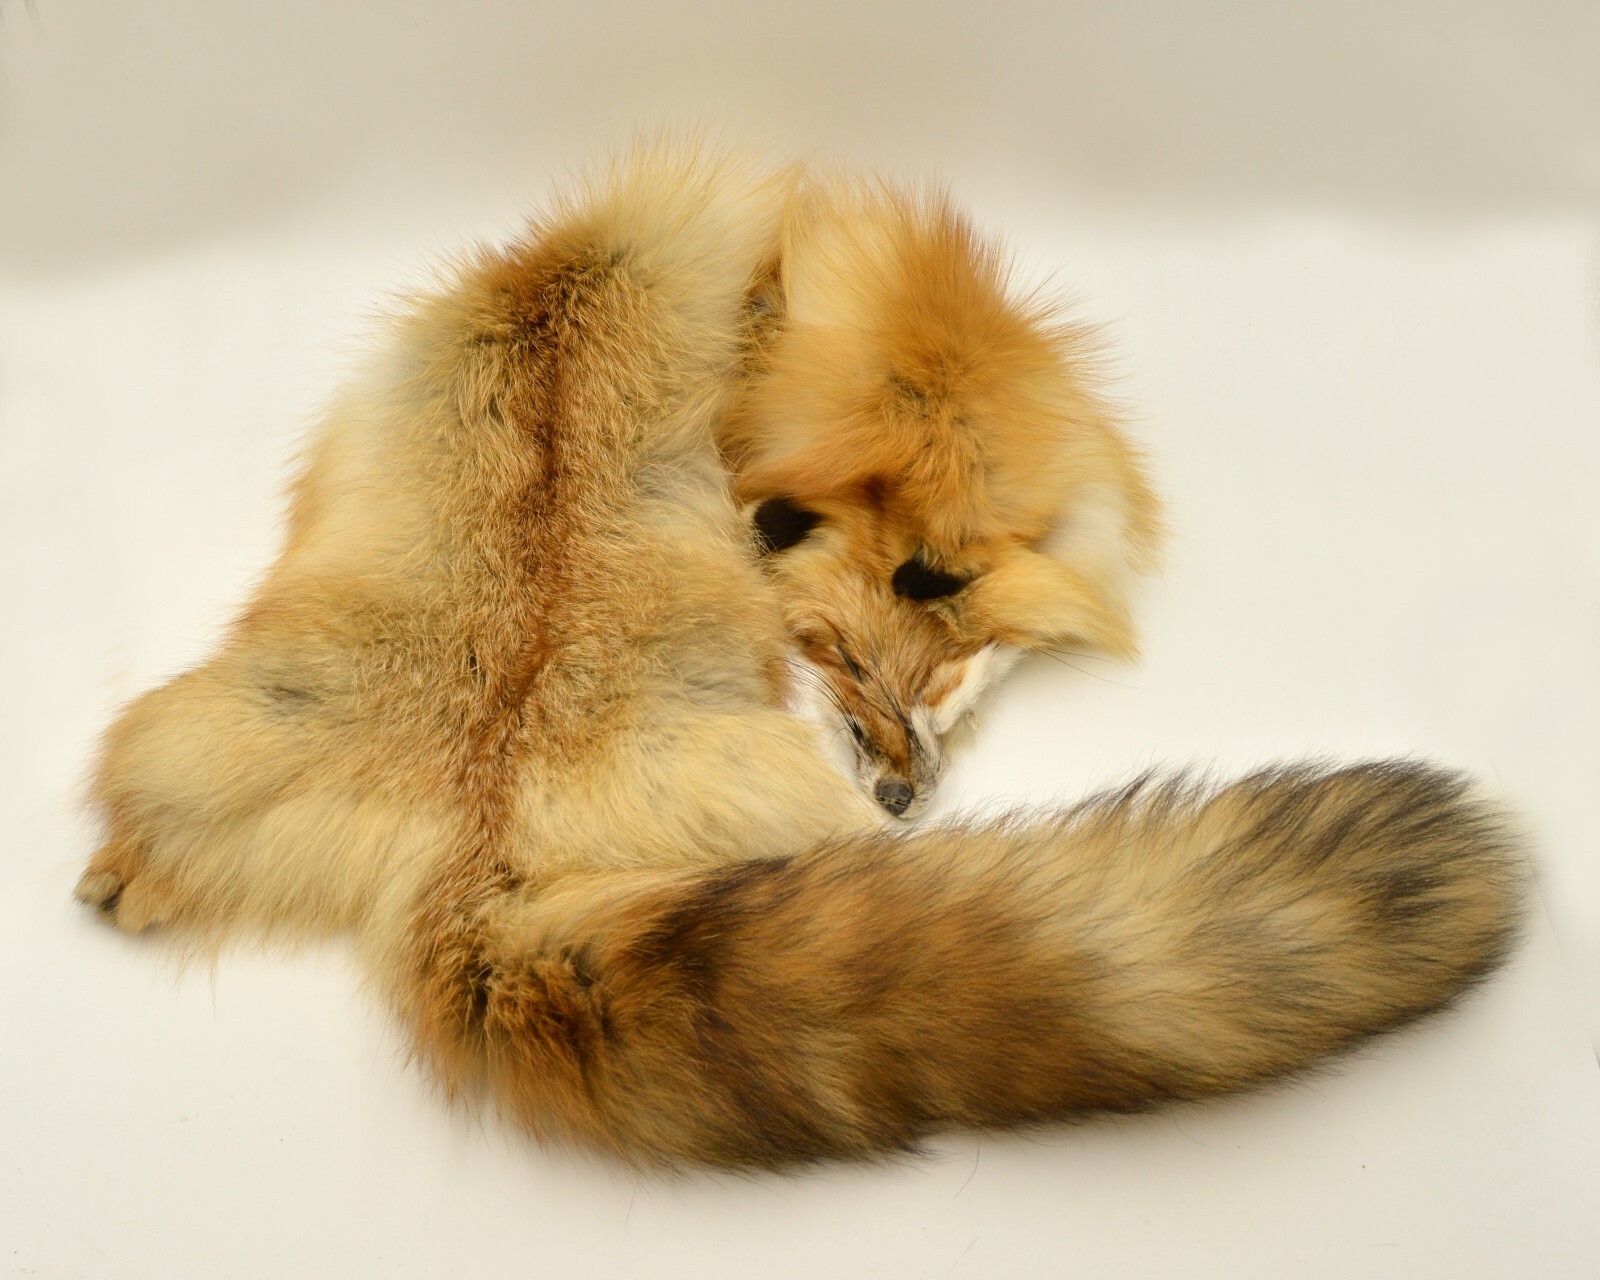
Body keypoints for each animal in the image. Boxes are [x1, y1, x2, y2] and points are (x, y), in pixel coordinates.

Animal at [76, 142, 1525, 1169]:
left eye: (933, 674)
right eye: (832, 661)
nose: (901, 794)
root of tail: (475, 842)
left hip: (202, 739)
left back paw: (120, 884)